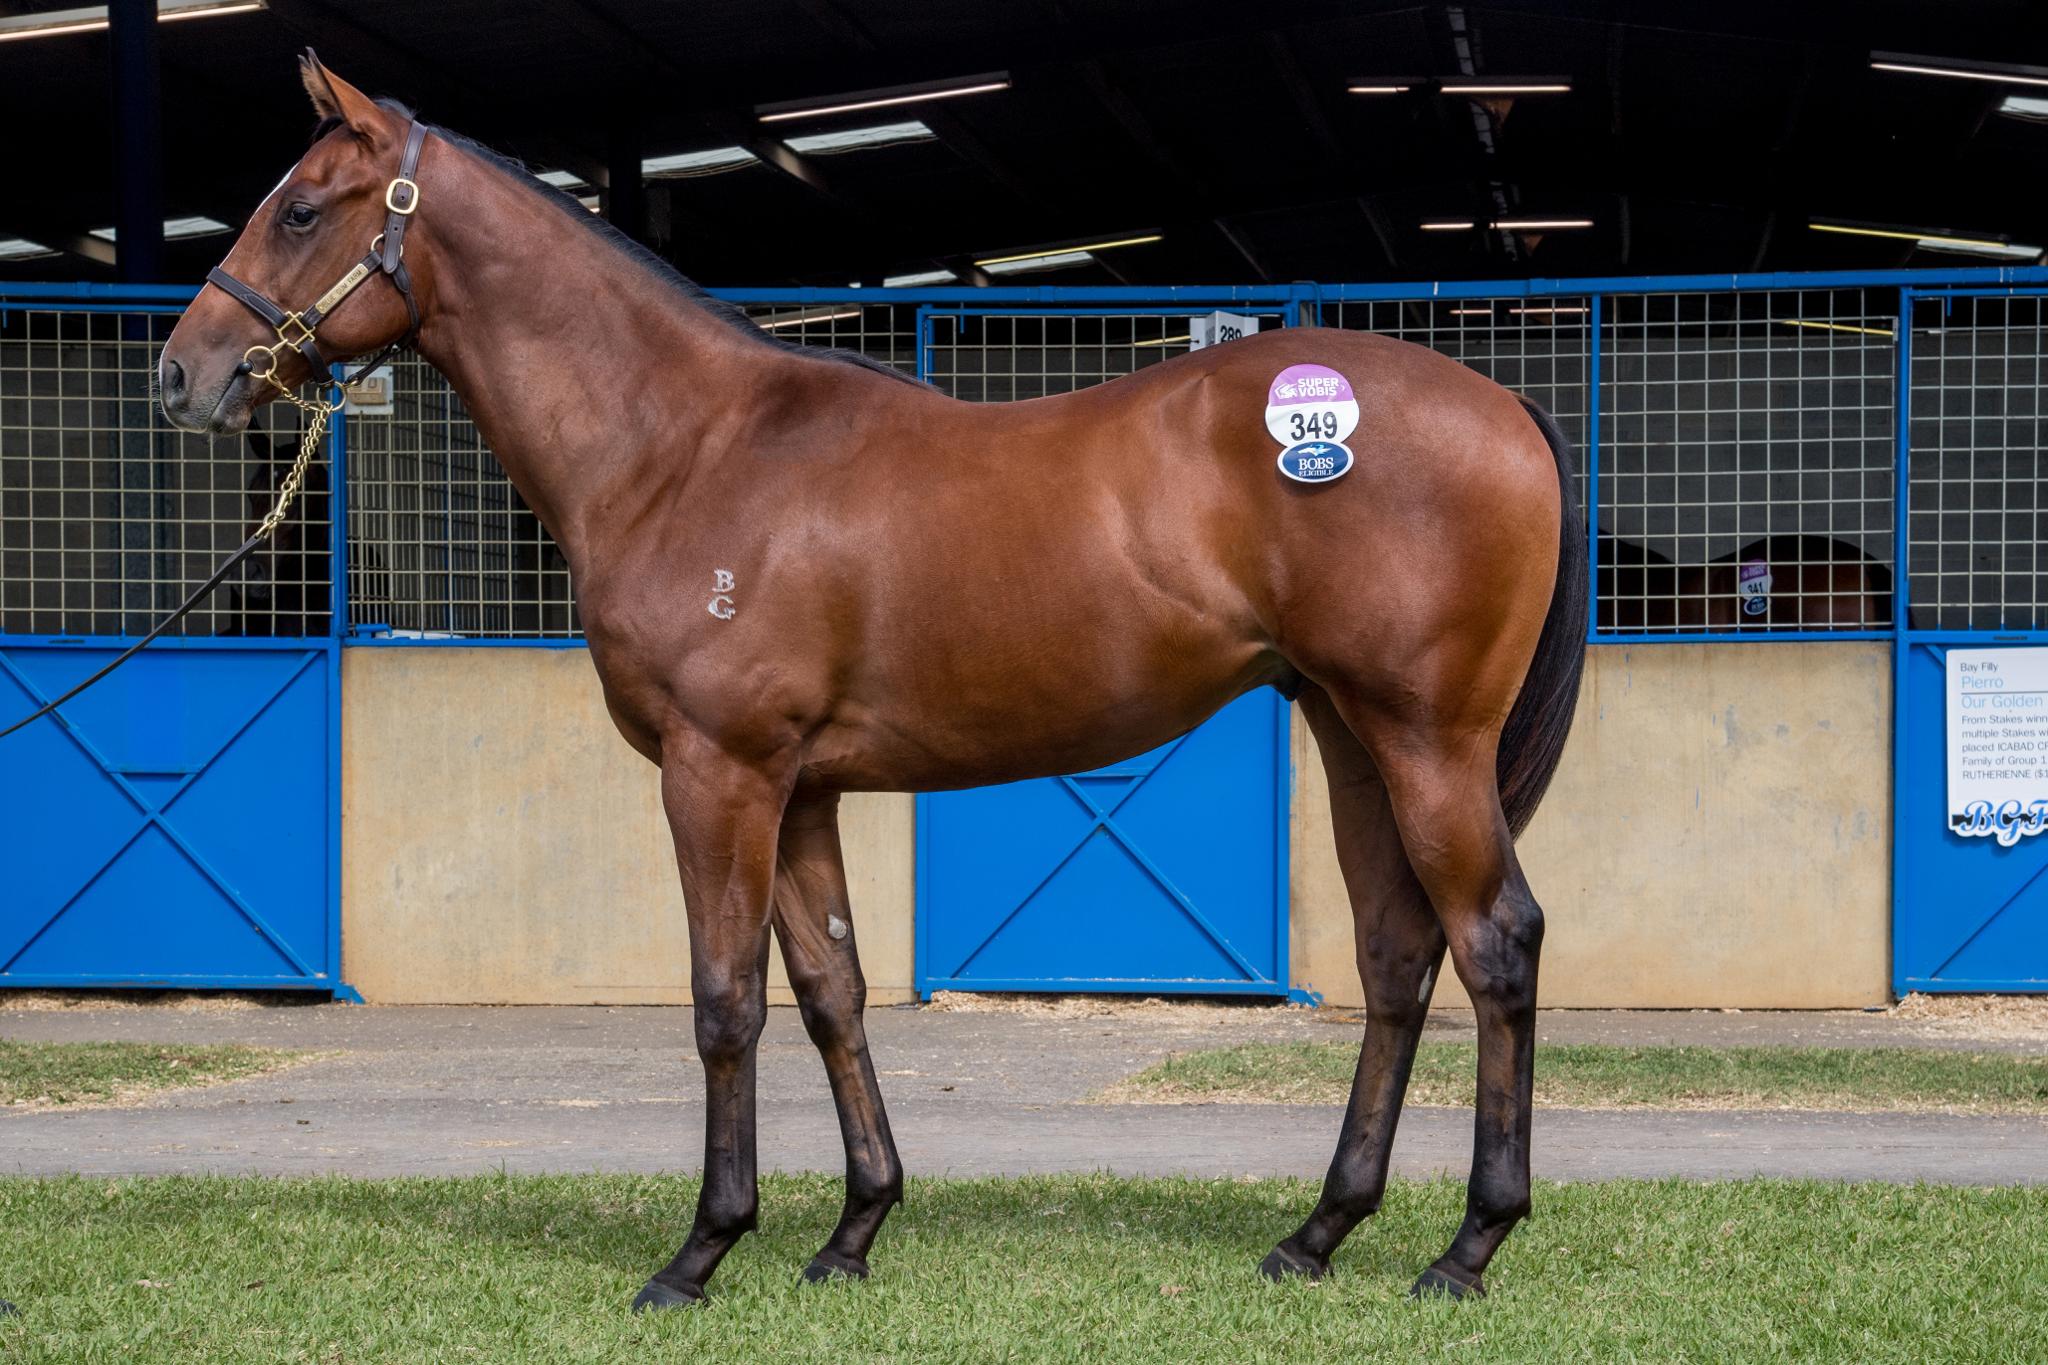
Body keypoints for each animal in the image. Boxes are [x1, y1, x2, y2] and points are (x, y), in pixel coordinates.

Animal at [151, 52, 1587, 1309]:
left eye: (299, 206)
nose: (183, 372)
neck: (688, 448)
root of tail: (1505, 409)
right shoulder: (802, 791)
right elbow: (831, 994)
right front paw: (851, 1232)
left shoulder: (718, 775)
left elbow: (725, 1003)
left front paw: (699, 1253)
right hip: (1351, 734)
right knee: (1398, 953)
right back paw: (1318, 1232)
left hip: (1425, 740)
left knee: (1495, 942)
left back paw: (1466, 1248)